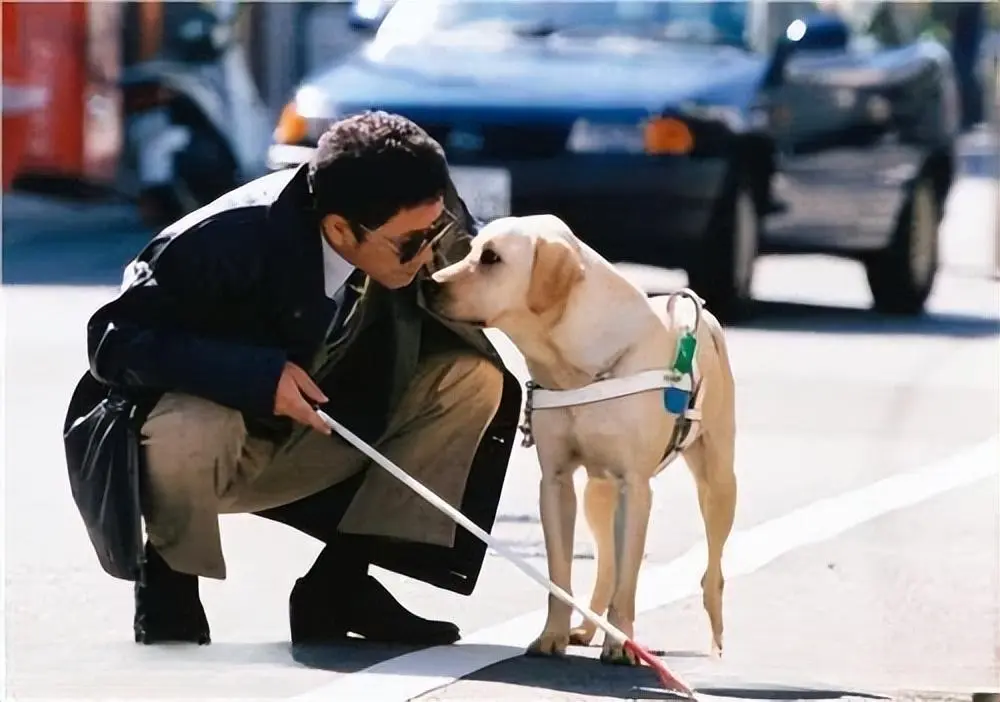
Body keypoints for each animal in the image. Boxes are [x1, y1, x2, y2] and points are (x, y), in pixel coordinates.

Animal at [428, 213, 736, 664]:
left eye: (492, 258)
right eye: (470, 250)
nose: (428, 282)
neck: (577, 368)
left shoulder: (634, 487)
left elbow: (628, 581)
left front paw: (621, 644)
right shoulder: (555, 482)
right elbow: (561, 576)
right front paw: (552, 635)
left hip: (717, 483)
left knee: (711, 571)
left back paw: (715, 640)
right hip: (596, 493)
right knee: (605, 566)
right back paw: (588, 628)